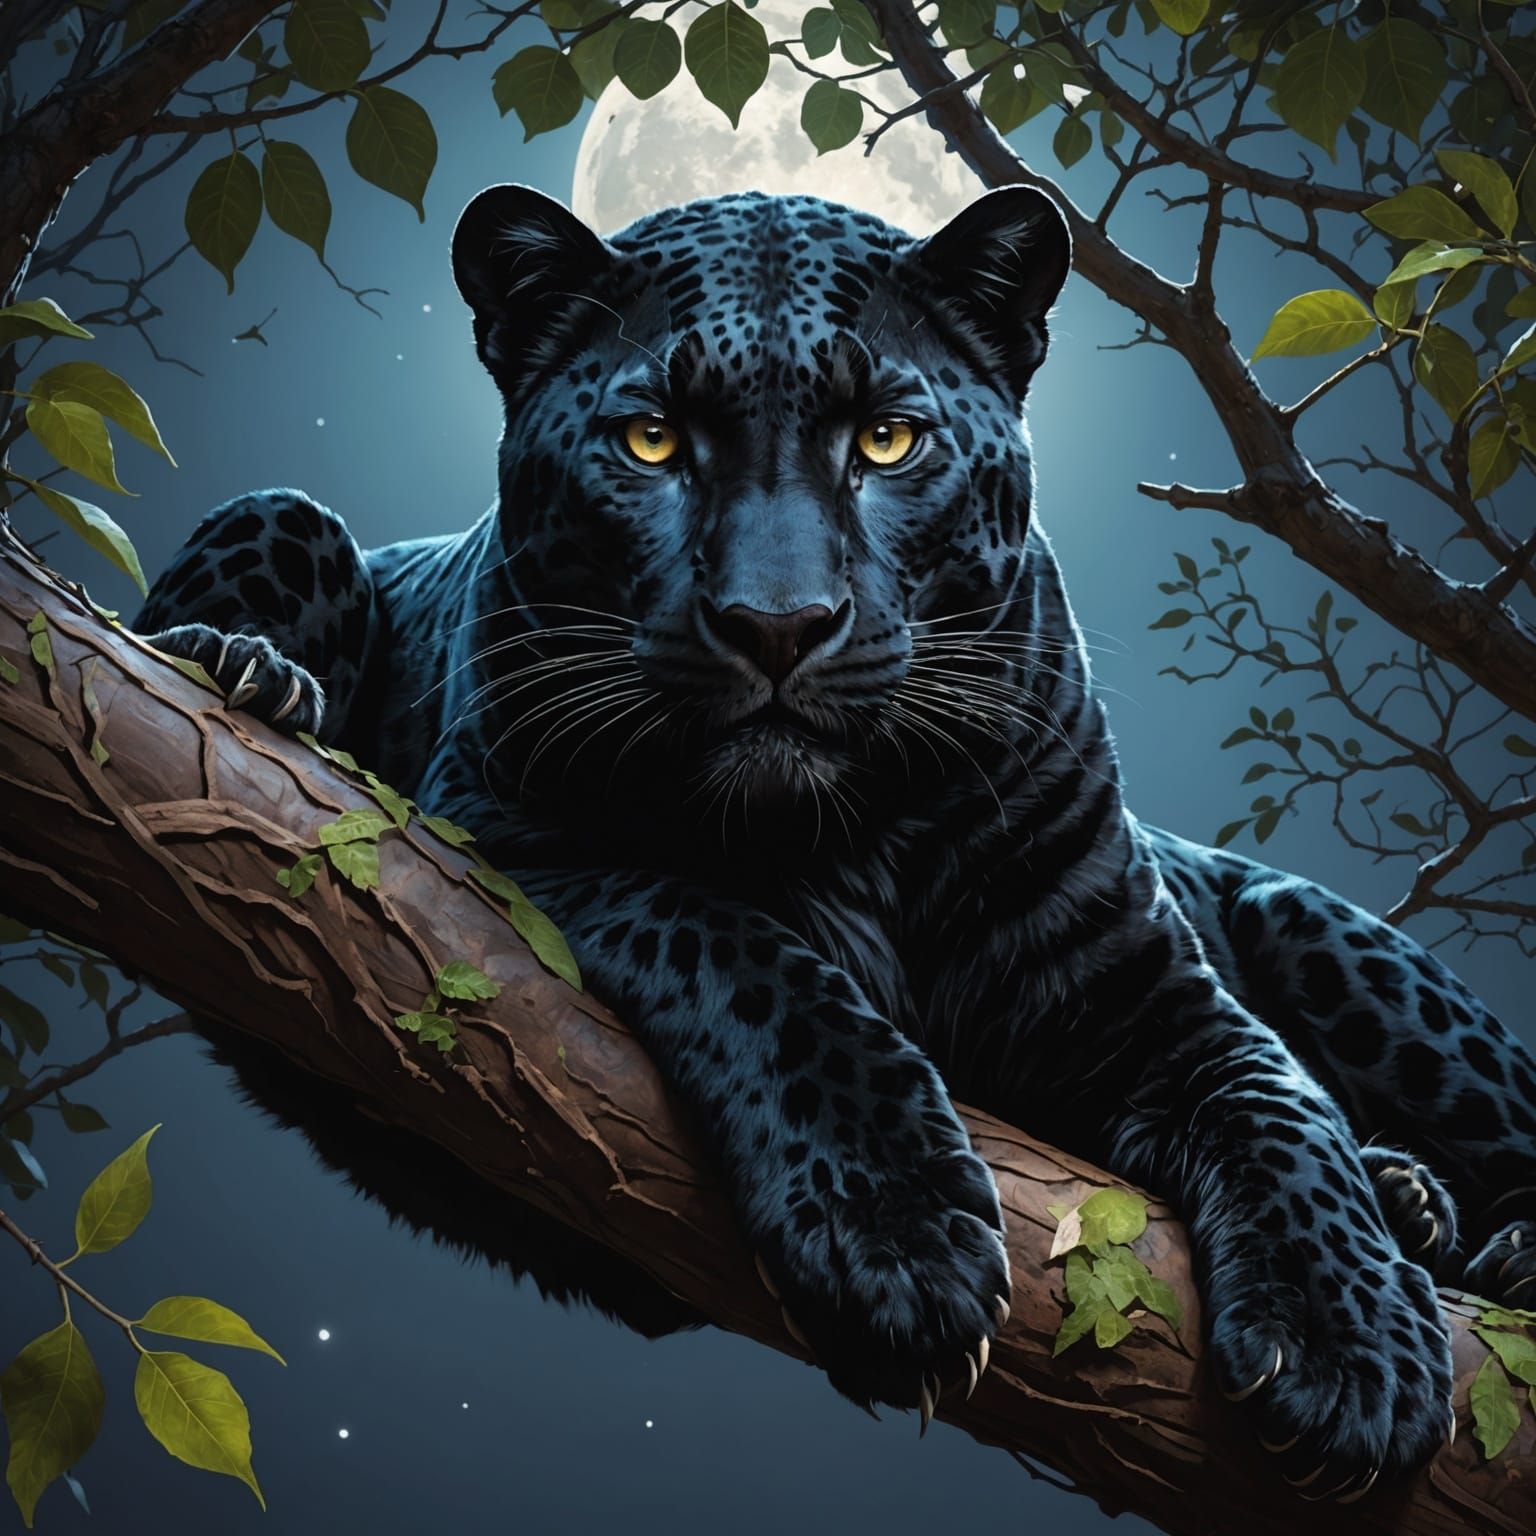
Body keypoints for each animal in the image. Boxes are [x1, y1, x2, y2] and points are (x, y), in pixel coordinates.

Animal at [135, 183, 1536, 1502]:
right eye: (651, 440)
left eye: (886, 438)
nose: (778, 623)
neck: (862, 830)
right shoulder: (500, 842)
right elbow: (751, 955)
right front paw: (897, 1237)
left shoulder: (1152, 994)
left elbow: (1277, 1110)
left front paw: (1350, 1353)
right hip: (284, 513)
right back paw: (245, 672)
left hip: (1331, 938)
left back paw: (1439, 1215)